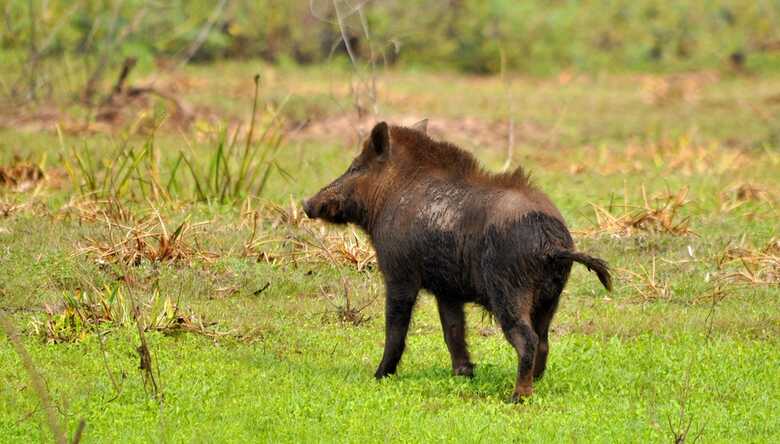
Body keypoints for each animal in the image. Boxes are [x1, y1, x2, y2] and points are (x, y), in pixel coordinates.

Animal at [302, 121, 612, 402]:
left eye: (356, 167)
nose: (307, 203)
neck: (391, 195)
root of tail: (552, 242)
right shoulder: (448, 290)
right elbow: (453, 329)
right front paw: (463, 374)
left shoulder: (399, 273)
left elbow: (396, 330)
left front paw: (379, 376)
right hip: (551, 297)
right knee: (544, 340)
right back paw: (534, 383)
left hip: (510, 291)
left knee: (528, 340)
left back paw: (517, 397)